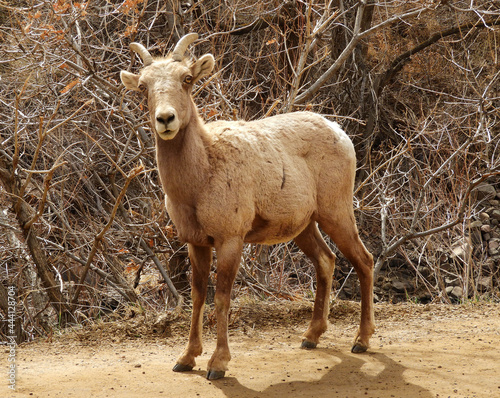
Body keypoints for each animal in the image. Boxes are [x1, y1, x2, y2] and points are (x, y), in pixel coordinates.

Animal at [119, 33, 374, 380]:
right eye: (143, 86)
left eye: (187, 79)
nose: (166, 119)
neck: (200, 179)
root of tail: (340, 132)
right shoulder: (196, 242)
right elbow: (198, 296)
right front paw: (186, 359)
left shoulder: (230, 239)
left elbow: (222, 298)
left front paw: (218, 365)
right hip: (304, 226)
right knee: (326, 260)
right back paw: (310, 337)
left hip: (337, 212)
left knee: (364, 260)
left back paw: (361, 340)